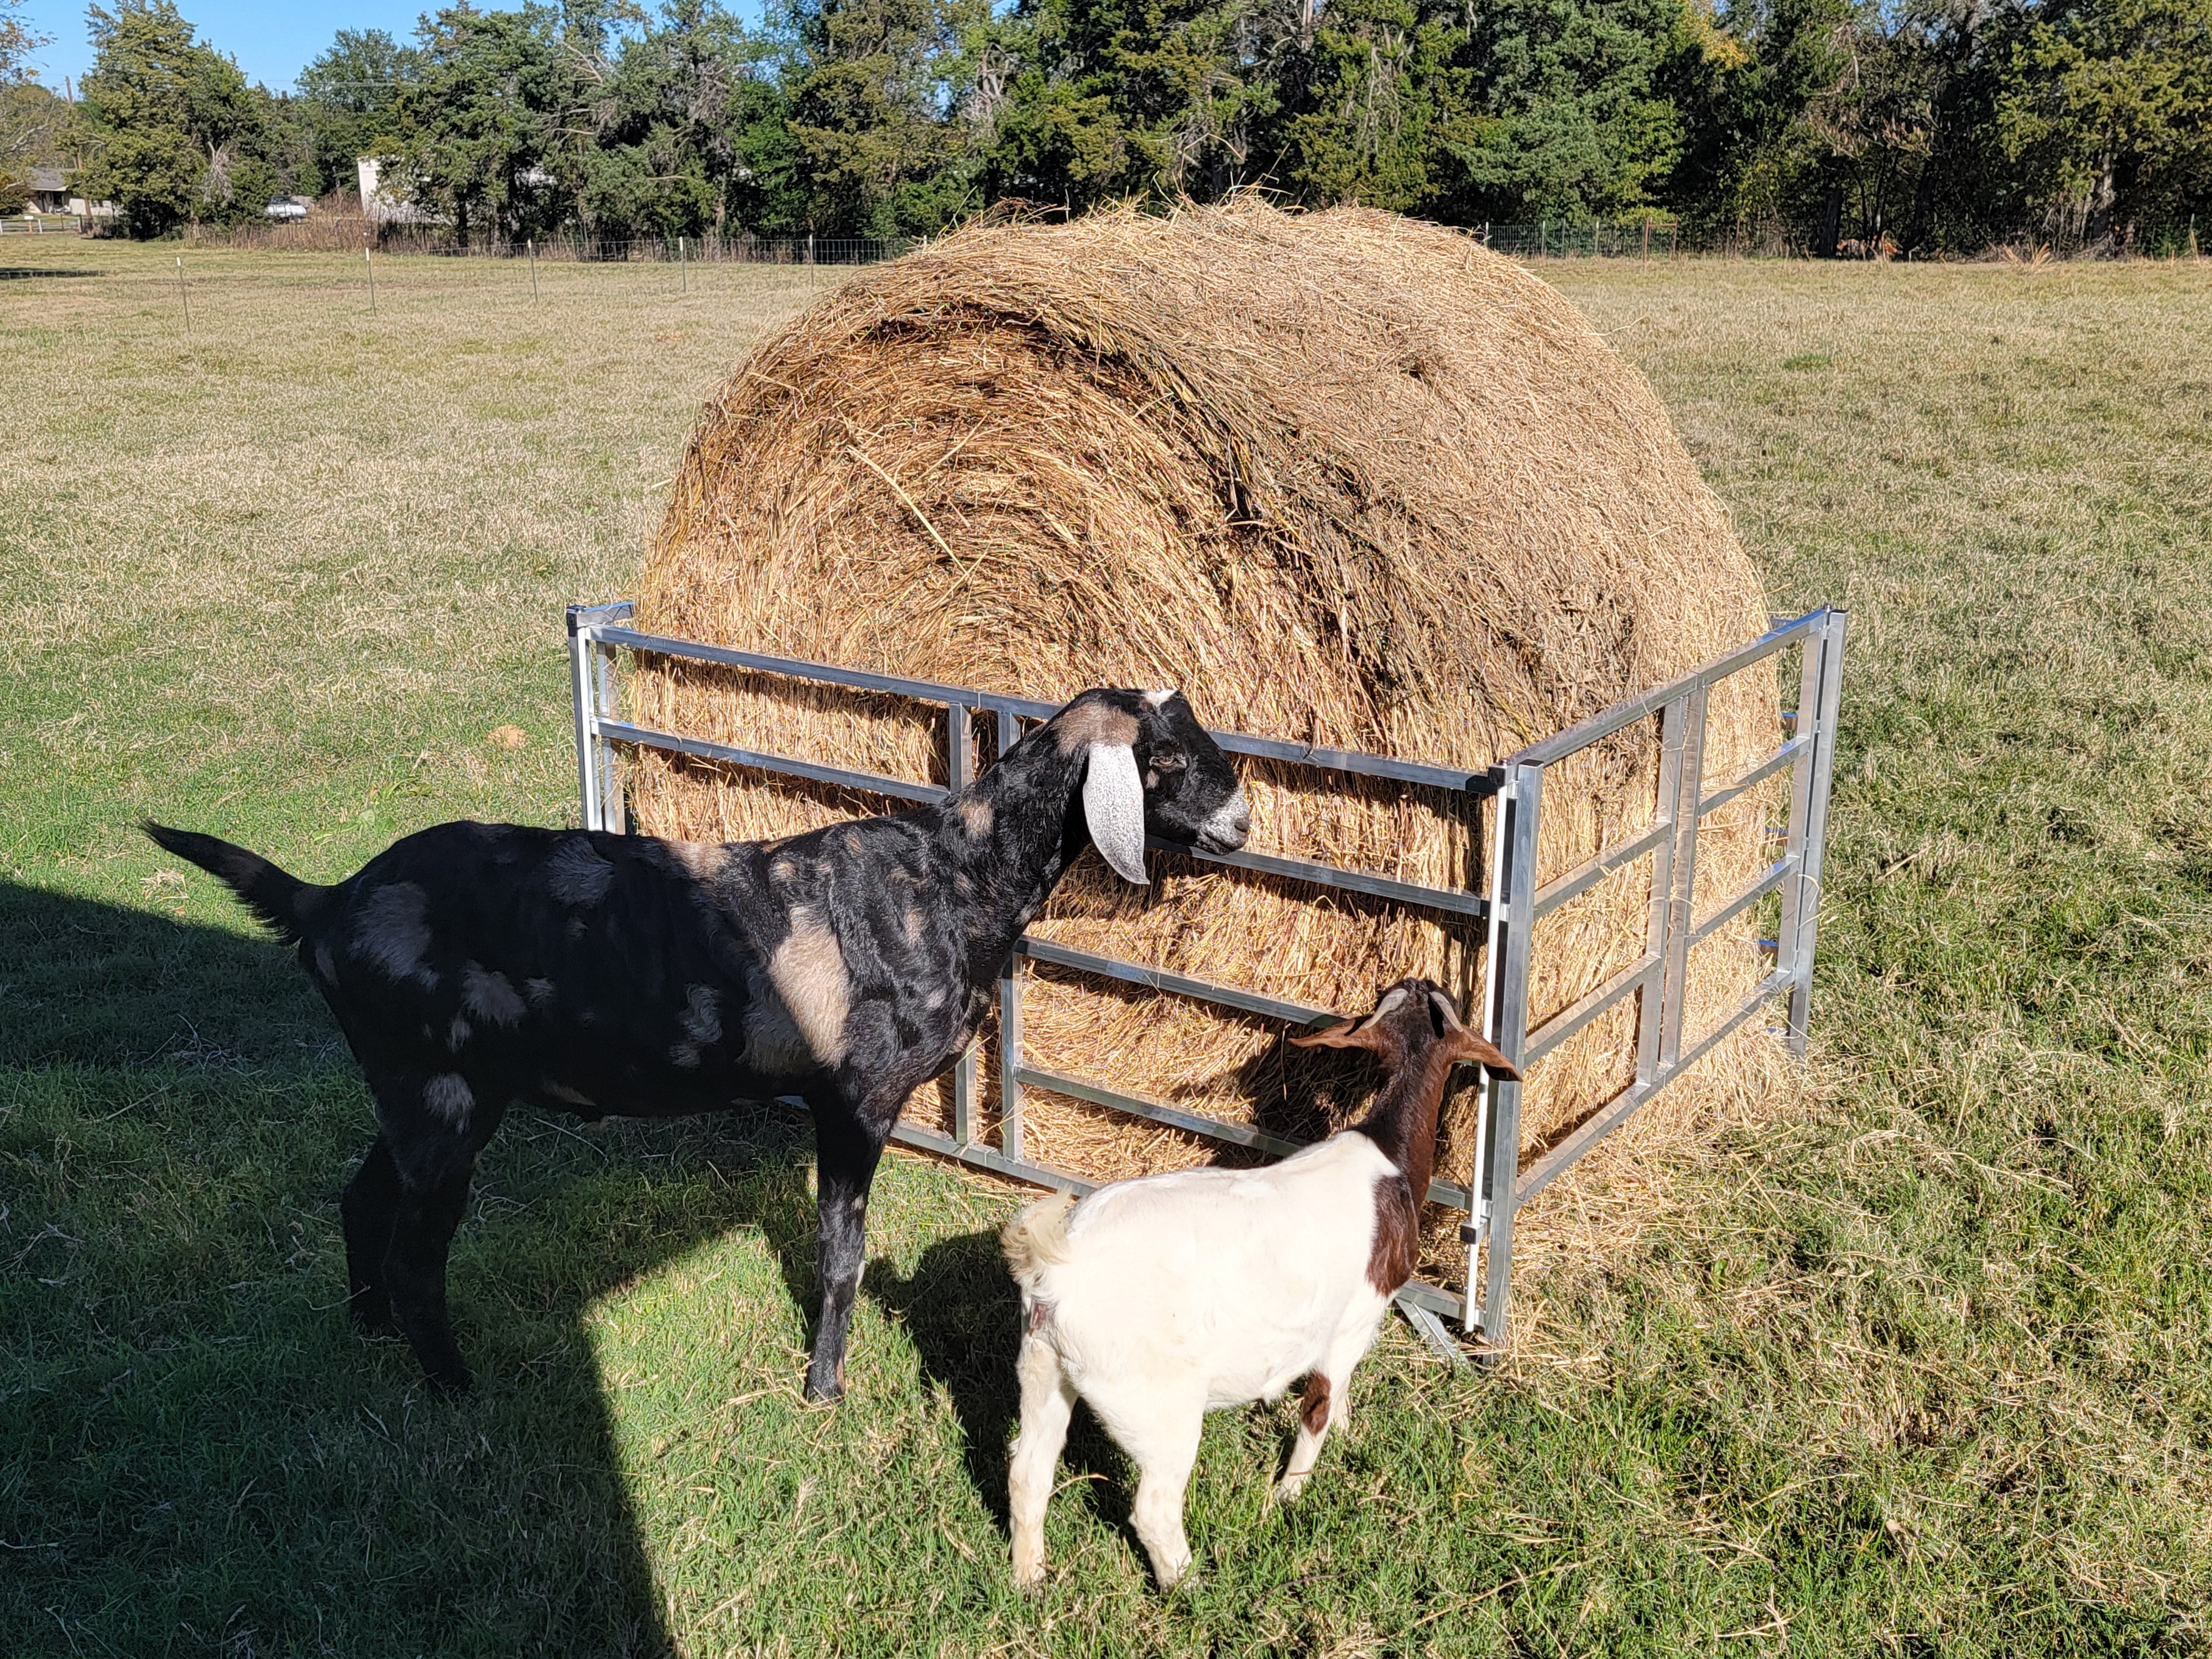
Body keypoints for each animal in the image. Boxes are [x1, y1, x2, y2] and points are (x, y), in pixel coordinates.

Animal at [144, 686, 1248, 1401]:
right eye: (1165, 760)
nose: (1242, 822)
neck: (953, 880)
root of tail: (326, 905)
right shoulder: (857, 1099)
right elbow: (841, 1254)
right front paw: (823, 1389)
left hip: (420, 1090)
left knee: (361, 1197)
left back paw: (368, 1327)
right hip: (438, 1093)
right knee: (420, 1252)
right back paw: (456, 1386)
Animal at [1000, 976, 1517, 1589]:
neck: (1386, 1156)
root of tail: (1055, 1268)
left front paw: (1344, 1434)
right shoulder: (1354, 1320)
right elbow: (1318, 1405)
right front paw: (1291, 1493)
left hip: (1042, 1367)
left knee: (1027, 1472)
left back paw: (1029, 1578)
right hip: (1152, 1401)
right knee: (1154, 1507)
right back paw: (1190, 1586)